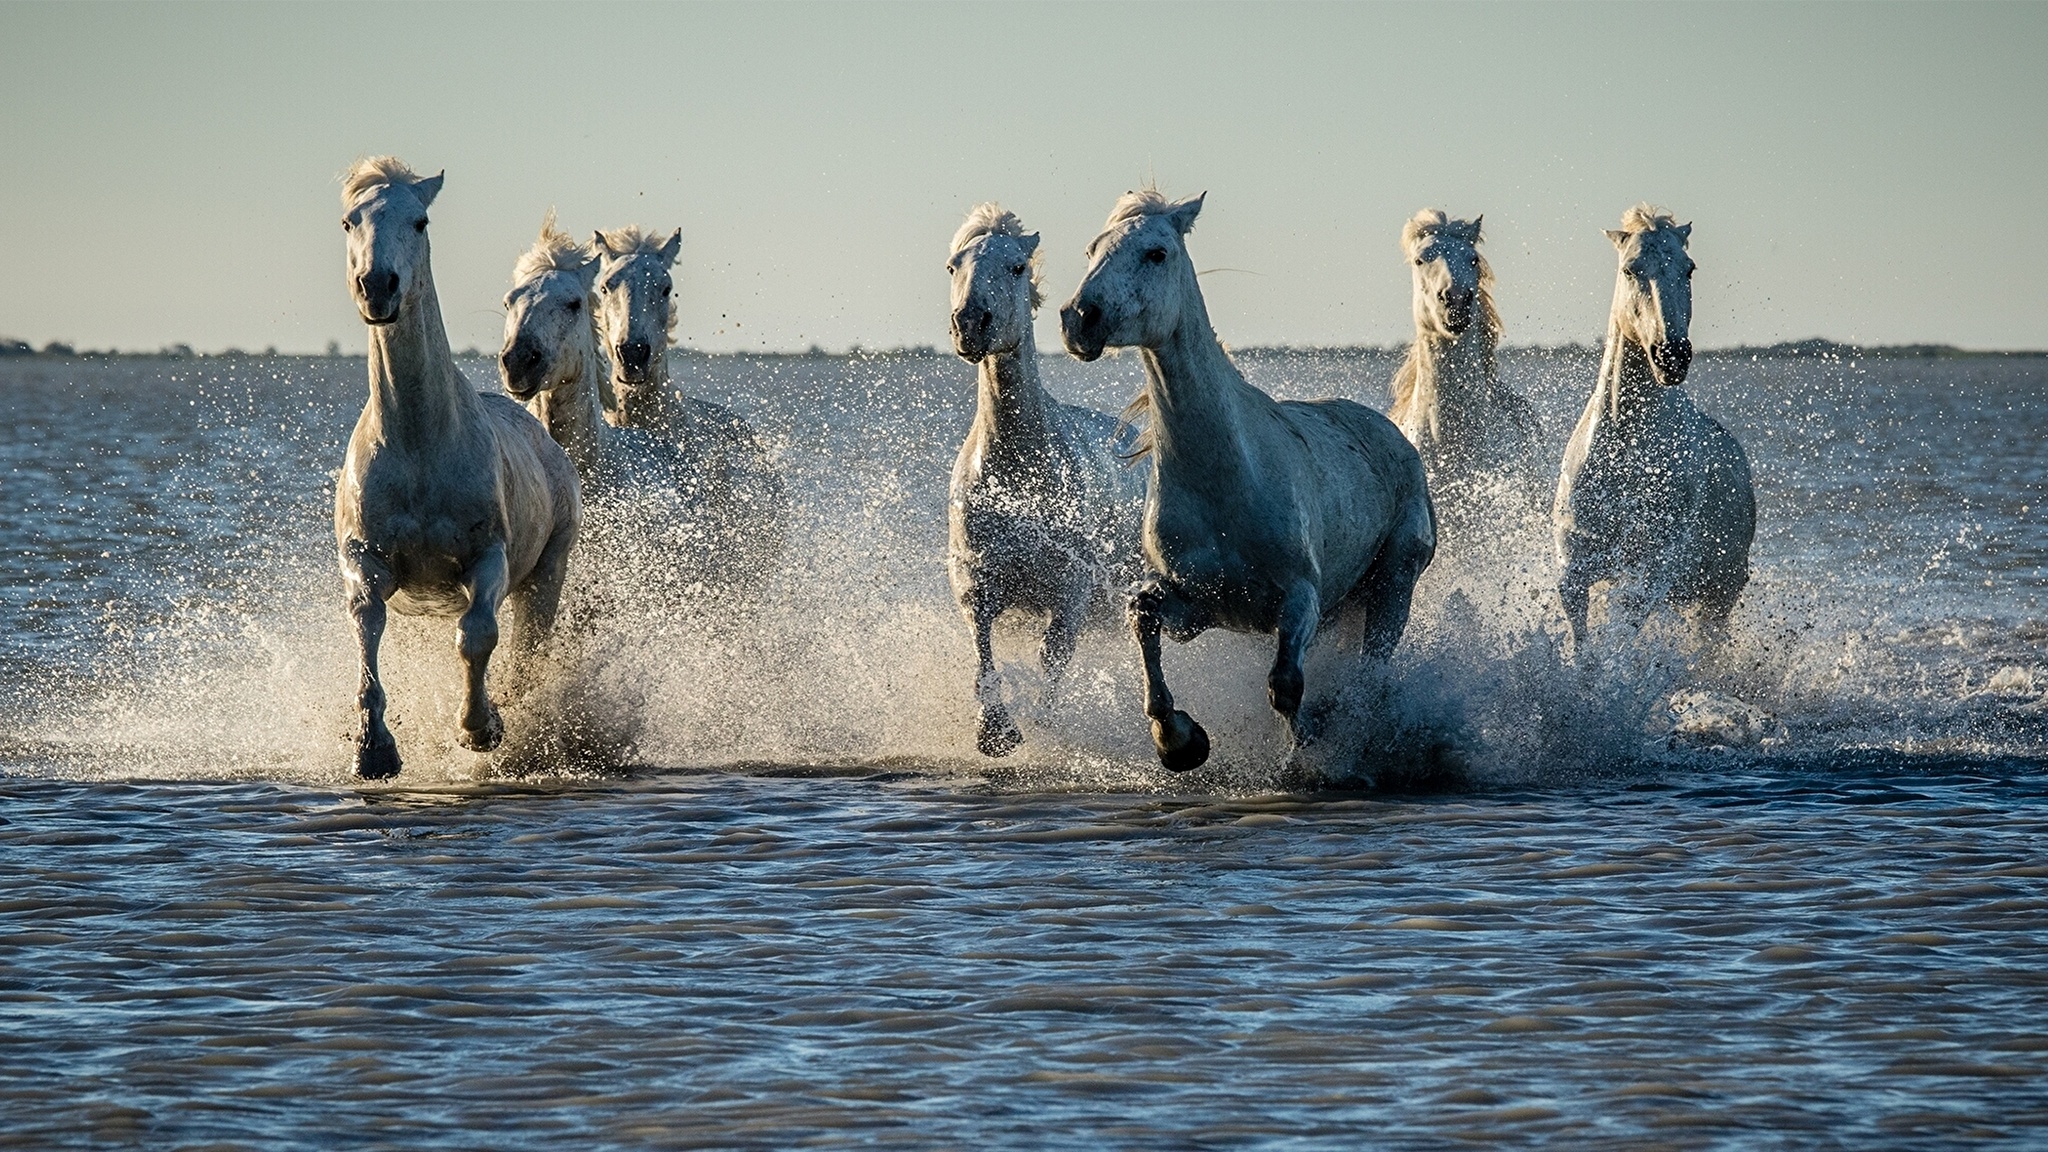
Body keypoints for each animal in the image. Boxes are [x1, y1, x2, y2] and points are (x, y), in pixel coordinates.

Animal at [331, 156, 581, 774]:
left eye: (420, 221)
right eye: (350, 221)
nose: (378, 286)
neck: (421, 445)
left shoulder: (487, 558)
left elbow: (477, 636)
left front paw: (481, 726)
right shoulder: (365, 559)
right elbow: (367, 628)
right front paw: (374, 750)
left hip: (548, 572)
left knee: (527, 648)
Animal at [946, 201, 1155, 758]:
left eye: (1017, 267)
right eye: (954, 266)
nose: (970, 324)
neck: (1017, 476)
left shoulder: (1069, 593)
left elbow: (1052, 659)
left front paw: (1044, 725)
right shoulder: (977, 585)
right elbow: (982, 655)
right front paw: (995, 731)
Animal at [1064, 190, 1433, 770]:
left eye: (1157, 253)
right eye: (1092, 250)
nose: (1080, 318)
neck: (1226, 483)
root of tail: (1396, 437)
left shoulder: (1301, 598)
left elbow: (1285, 686)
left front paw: (1306, 754)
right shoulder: (1196, 606)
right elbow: (1142, 615)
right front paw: (1180, 740)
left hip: (1394, 583)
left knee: (1370, 673)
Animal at [1556, 204, 1753, 651]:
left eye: (1689, 268)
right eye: (1630, 269)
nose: (1671, 356)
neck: (1625, 454)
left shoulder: (1652, 571)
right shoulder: (1576, 568)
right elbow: (1583, 644)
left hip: (1720, 592)